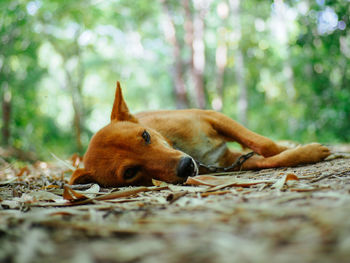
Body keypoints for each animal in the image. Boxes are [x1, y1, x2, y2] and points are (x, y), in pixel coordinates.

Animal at [69, 82, 330, 188]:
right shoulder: (229, 163)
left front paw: (301, 149)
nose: (186, 166)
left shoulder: (211, 116)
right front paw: (306, 153)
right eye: (130, 173)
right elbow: (268, 158)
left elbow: (264, 144)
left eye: (145, 136)